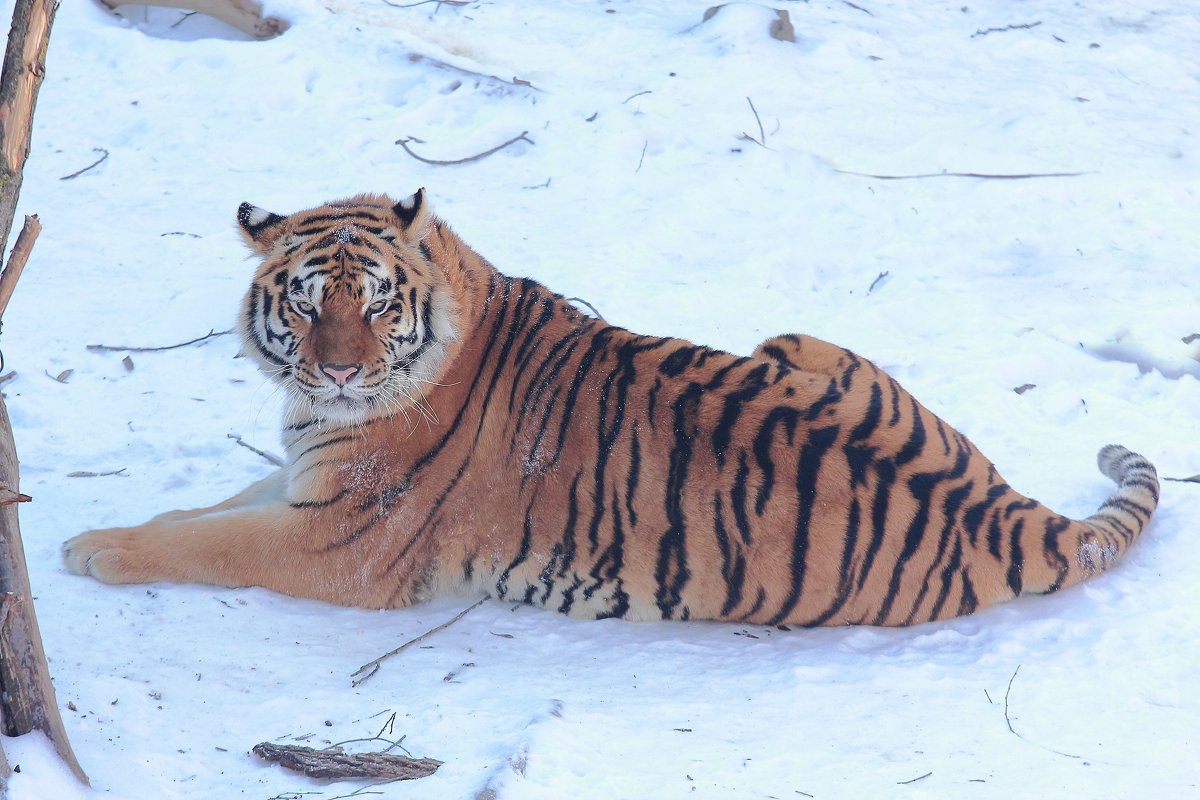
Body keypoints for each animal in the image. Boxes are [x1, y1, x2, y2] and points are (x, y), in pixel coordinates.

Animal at [60, 190, 1156, 628]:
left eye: (372, 303)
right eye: (302, 300)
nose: (333, 375)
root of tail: (1014, 512)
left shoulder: (339, 540)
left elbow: (211, 540)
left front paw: (92, 550)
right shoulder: (308, 480)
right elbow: (206, 509)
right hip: (797, 340)